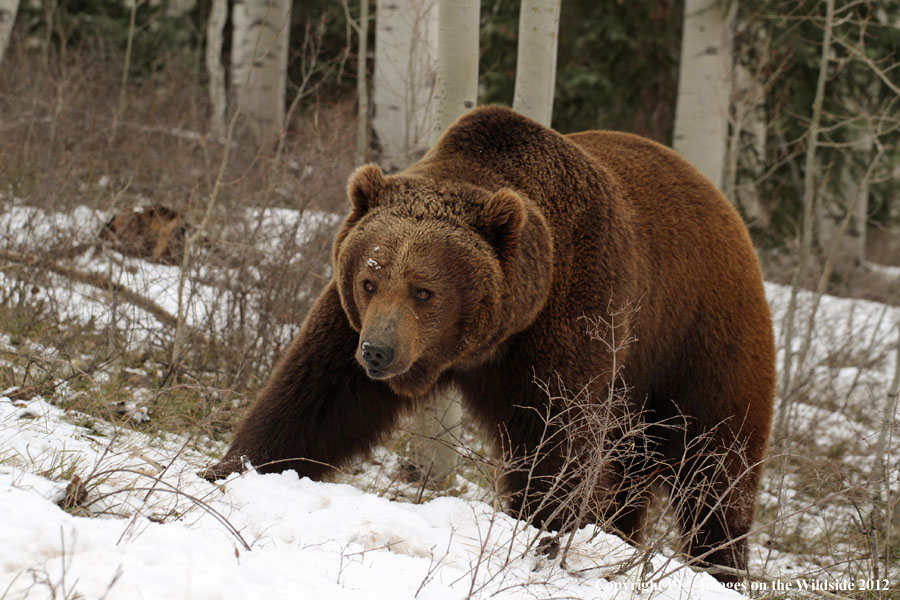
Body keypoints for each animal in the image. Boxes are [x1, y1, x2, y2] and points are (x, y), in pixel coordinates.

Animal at [202, 105, 772, 580]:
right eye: (369, 279)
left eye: (424, 290)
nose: (378, 352)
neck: (492, 339)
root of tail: (726, 209)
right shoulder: (350, 326)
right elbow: (312, 399)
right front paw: (228, 474)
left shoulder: (574, 318)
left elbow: (557, 438)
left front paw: (542, 534)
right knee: (631, 467)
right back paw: (621, 539)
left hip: (700, 340)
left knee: (716, 466)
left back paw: (721, 565)